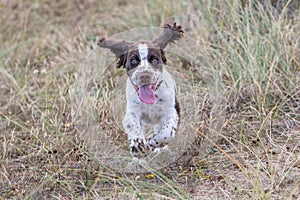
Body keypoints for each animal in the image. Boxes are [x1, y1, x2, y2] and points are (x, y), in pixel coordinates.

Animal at [98, 22, 183, 156]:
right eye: (133, 60)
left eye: (154, 59)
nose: (144, 75)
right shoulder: (132, 111)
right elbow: (133, 127)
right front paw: (138, 144)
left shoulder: (172, 110)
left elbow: (166, 133)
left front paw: (152, 143)